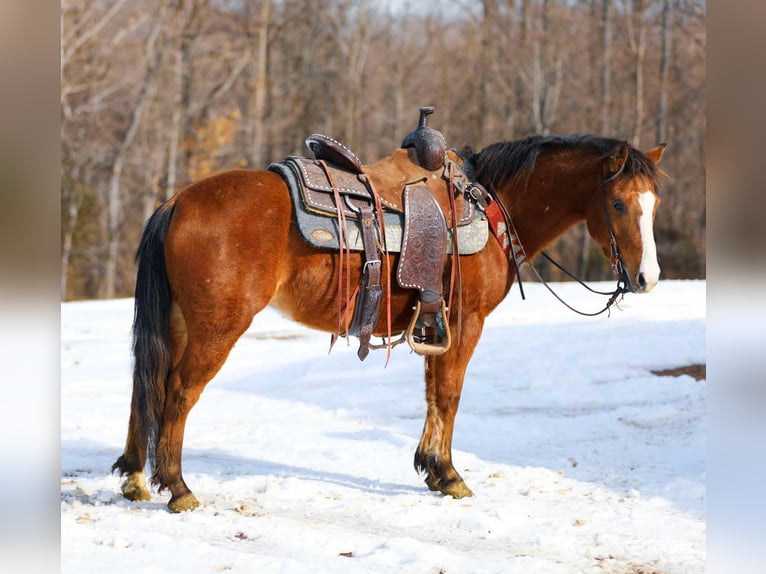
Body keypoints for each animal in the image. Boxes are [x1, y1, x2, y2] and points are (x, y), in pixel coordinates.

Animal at [112, 133, 666, 512]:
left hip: (179, 322)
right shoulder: (465, 322)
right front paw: (449, 474)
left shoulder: (435, 324)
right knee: (178, 392)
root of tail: (176, 202)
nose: (647, 278)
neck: (491, 206)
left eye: (653, 204)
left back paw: (135, 478)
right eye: (619, 203)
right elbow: (450, 394)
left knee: (146, 385)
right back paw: (178, 487)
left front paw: (432, 468)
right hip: (217, 328)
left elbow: (434, 393)